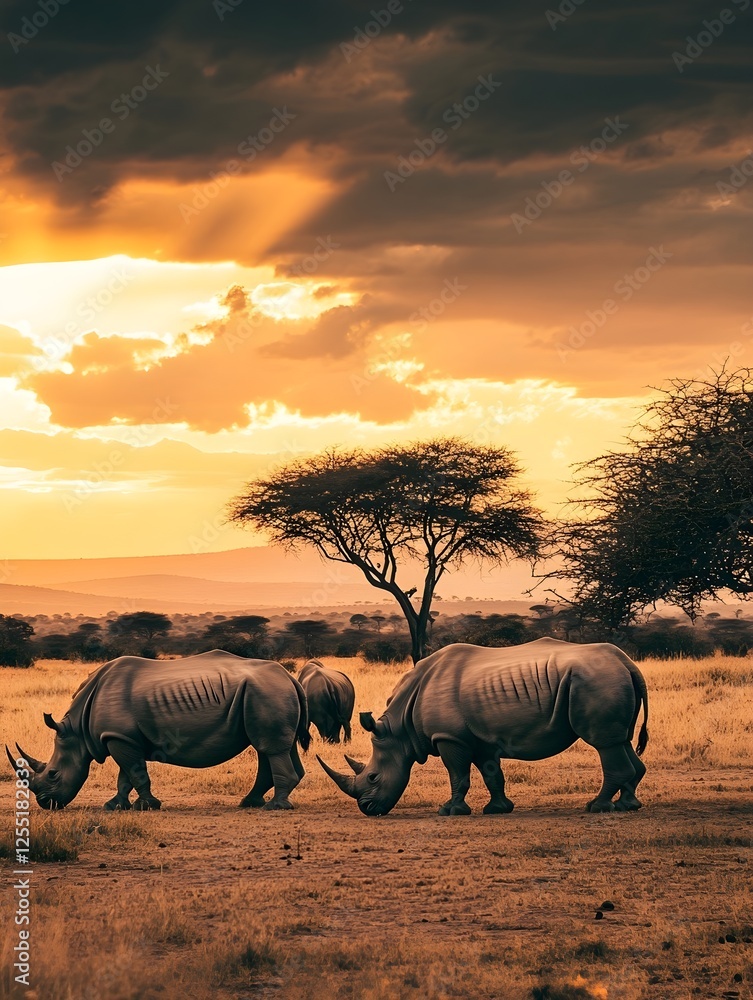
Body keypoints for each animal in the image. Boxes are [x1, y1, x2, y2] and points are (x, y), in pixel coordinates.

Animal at [8, 650, 310, 811]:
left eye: (53, 774)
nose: (46, 803)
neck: (77, 730)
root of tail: (290, 677)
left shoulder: (119, 737)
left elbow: (135, 773)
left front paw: (147, 805)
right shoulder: (124, 737)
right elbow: (125, 775)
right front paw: (114, 806)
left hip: (266, 691)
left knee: (270, 747)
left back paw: (274, 807)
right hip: (266, 693)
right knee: (272, 747)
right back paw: (250, 802)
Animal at [319, 638, 648, 816]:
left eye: (373, 777)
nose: (366, 808)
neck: (400, 727)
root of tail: (628, 663)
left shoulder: (449, 738)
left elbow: (458, 775)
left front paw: (449, 811)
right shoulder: (478, 739)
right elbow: (492, 775)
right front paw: (498, 809)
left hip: (595, 681)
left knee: (605, 743)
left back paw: (597, 806)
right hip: (608, 679)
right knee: (622, 741)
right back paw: (628, 805)